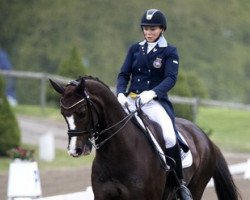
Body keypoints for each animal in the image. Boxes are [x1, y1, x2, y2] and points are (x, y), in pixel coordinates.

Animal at [49, 76, 240, 200]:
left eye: (81, 112)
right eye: (63, 114)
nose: (75, 150)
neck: (120, 153)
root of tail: (206, 139)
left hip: (196, 188)